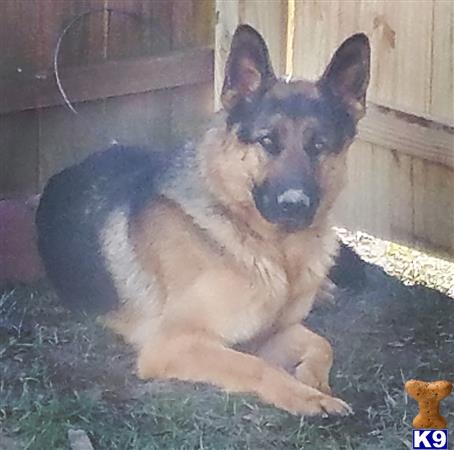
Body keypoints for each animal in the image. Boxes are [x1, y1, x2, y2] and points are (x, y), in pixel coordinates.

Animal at [36, 25, 368, 414]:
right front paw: (306, 396)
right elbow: (257, 367)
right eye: (267, 141)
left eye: (319, 146)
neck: (273, 251)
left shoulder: (271, 332)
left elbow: (322, 344)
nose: (294, 205)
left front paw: (313, 381)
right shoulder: (174, 344)